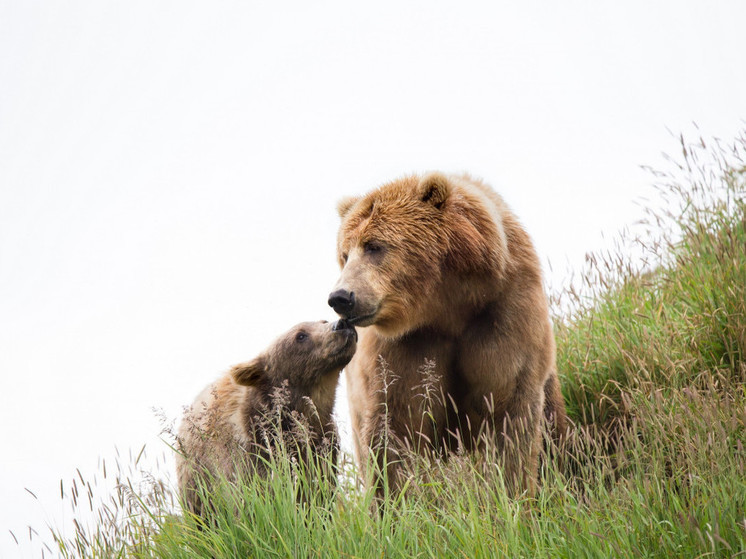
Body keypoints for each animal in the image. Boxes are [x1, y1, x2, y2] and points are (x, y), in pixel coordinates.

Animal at [326, 173, 564, 496]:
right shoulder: (404, 347)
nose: (341, 297)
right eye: (345, 254)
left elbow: (510, 413)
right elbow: (396, 428)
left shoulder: (504, 315)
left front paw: (512, 491)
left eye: (374, 246)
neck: (445, 306)